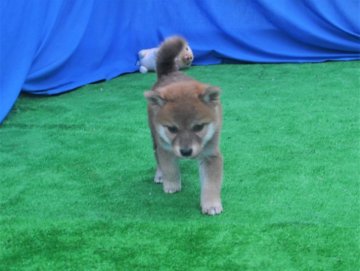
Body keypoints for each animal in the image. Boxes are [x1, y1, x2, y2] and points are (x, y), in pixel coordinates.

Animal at [143, 36, 222, 217]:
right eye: (172, 129)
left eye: (198, 127)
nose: (186, 152)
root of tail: (169, 73)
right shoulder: (165, 148)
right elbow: (169, 167)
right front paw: (172, 184)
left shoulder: (211, 155)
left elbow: (211, 184)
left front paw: (211, 204)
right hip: (155, 137)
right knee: (157, 157)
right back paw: (160, 175)